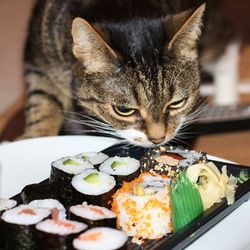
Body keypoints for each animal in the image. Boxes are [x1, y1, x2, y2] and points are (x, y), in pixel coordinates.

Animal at [23, 0, 234, 146]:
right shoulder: (41, 65)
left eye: (177, 103)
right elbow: (42, 108)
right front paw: (36, 139)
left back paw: (226, 98)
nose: (158, 139)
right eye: (124, 110)